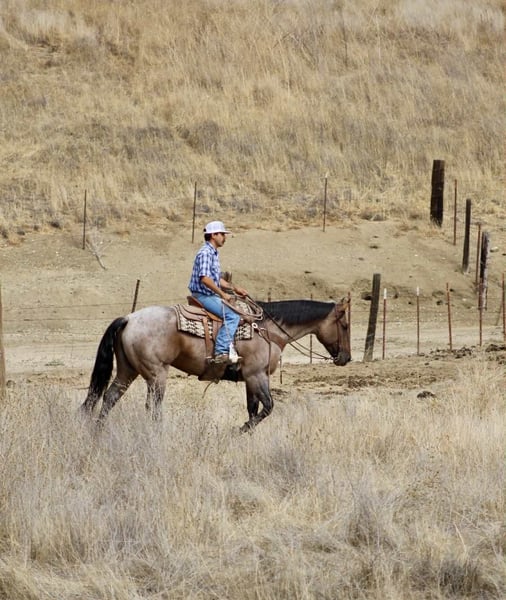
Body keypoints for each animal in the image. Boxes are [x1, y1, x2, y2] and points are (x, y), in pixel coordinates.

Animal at [81, 298, 351, 432]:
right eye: (345, 325)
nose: (346, 358)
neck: (267, 330)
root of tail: (129, 318)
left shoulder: (250, 378)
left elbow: (254, 409)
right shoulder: (257, 375)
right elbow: (268, 407)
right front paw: (239, 430)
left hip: (128, 370)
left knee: (110, 396)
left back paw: (98, 430)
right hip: (156, 374)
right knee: (153, 406)